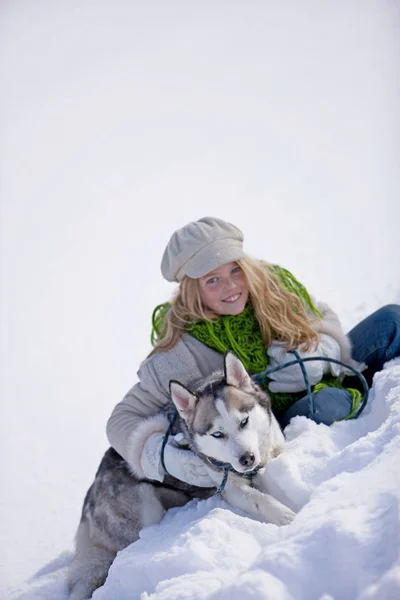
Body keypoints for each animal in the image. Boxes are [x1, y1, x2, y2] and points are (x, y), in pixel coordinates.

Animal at [68, 352, 294, 600]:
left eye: (244, 421)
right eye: (217, 434)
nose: (247, 459)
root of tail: (90, 497)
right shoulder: (228, 486)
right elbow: (260, 499)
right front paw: (287, 518)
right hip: (144, 506)